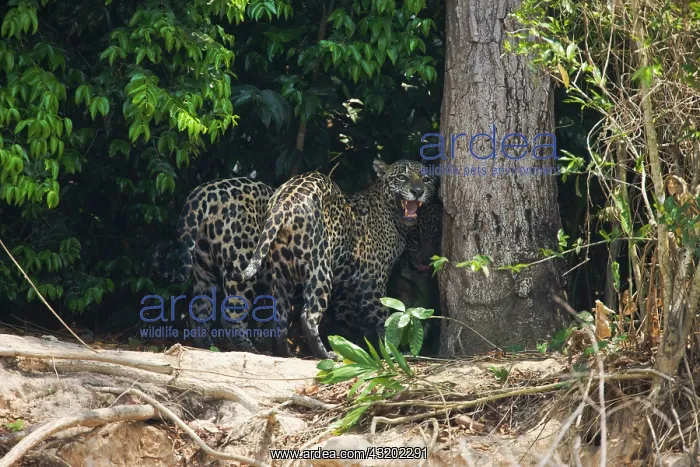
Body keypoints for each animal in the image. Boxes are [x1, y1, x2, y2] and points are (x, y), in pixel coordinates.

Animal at [236, 159, 438, 360]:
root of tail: (285, 199)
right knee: (308, 315)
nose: (418, 191)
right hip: (320, 267)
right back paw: (326, 355)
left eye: (426, 179)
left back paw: (284, 353)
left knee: (280, 312)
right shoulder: (372, 280)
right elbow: (382, 317)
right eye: (402, 177)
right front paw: (391, 350)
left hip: (282, 271)